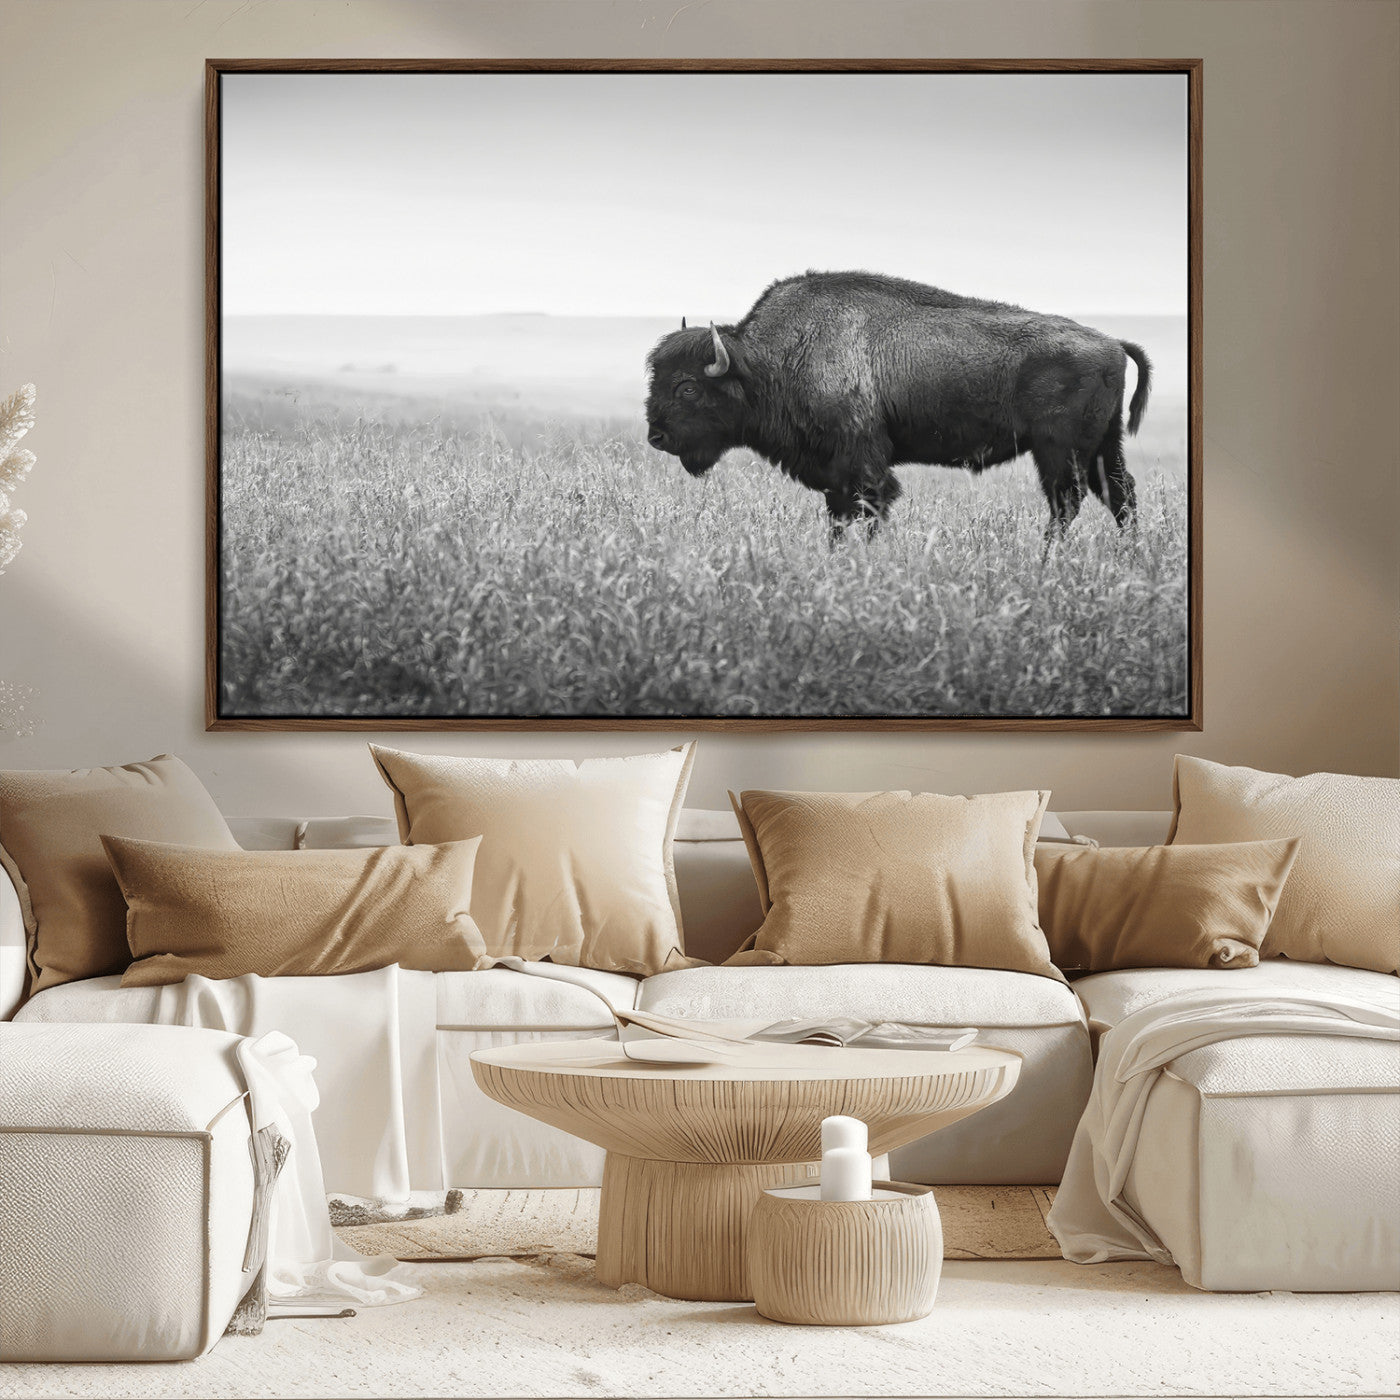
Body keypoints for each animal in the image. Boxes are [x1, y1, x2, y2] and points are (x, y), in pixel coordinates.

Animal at [645, 271, 1151, 538]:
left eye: (687, 387)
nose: (656, 436)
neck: (771, 361)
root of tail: (1112, 342)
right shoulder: (834, 475)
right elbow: (839, 517)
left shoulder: (863, 466)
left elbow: (869, 509)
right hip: (1102, 447)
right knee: (1119, 495)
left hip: (1059, 451)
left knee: (1067, 503)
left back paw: (1048, 560)